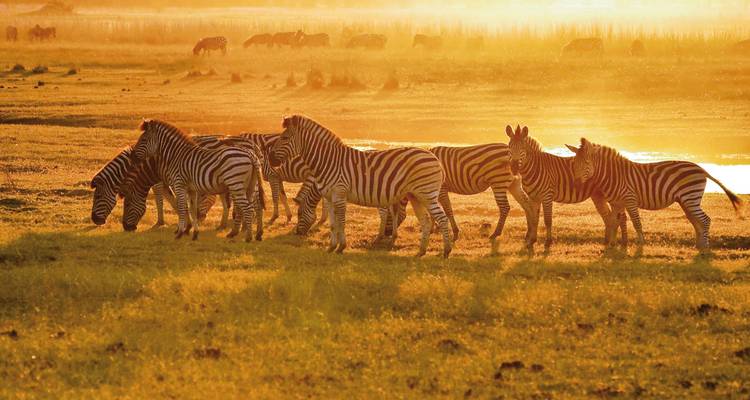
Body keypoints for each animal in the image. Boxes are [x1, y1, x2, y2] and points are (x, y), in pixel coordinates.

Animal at [129, 119, 263, 242]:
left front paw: (179, 232)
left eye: (143, 140)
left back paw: (248, 237)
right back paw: (248, 233)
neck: (175, 155)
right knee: (251, 206)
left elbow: (181, 207)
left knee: (248, 208)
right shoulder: (191, 189)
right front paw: (194, 233)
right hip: (247, 186)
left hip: (235, 184)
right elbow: (192, 209)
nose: (132, 157)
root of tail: (250, 153)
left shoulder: (179, 184)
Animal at [269, 115, 453, 258]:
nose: (297, 234)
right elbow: (333, 224)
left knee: (442, 218)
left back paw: (446, 251)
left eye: (284, 138)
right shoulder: (329, 197)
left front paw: (341, 247)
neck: (327, 161)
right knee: (426, 221)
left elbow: (342, 221)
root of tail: (434, 158)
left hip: (427, 193)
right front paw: (331, 247)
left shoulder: (339, 193)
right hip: (416, 196)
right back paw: (421, 251)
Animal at [568, 138, 743, 252]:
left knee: (705, 219)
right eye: (574, 163)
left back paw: (705, 247)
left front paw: (640, 243)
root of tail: (701, 169)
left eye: (586, 163)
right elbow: (613, 221)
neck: (614, 176)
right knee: (696, 221)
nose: (575, 184)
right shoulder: (616, 203)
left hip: (690, 197)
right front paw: (612, 244)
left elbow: (636, 222)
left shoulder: (630, 199)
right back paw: (698, 245)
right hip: (686, 201)